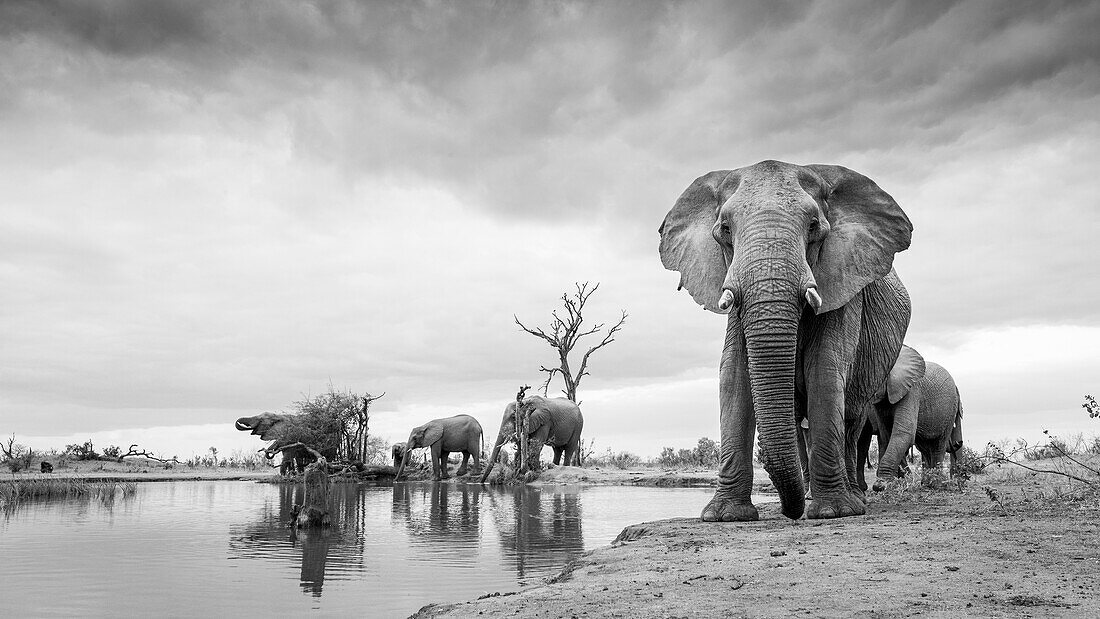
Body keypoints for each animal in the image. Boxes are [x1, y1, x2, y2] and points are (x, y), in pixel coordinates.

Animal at [660, 162, 910, 521]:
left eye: (814, 226)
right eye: (724, 229)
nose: (789, 512)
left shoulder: (843, 284)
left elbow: (825, 369)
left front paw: (832, 512)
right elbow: (733, 376)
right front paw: (723, 516)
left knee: (852, 420)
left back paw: (852, 500)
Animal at [853, 347, 968, 492]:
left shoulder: (911, 391)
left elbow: (903, 433)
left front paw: (882, 485)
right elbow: (887, 435)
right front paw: (897, 483)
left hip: (949, 410)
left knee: (938, 444)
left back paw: (937, 484)